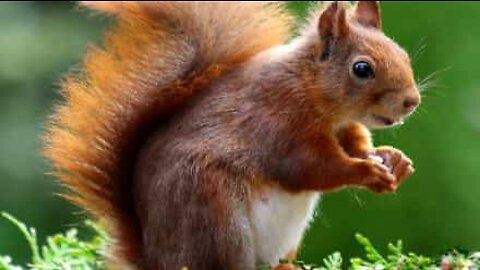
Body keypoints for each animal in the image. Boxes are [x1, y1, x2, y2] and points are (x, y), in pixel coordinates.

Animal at [44, 1, 420, 268]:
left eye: (402, 53)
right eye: (362, 68)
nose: (411, 101)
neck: (311, 91)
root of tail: (154, 258)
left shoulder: (344, 128)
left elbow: (356, 144)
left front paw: (393, 161)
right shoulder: (278, 124)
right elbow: (311, 168)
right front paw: (366, 171)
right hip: (217, 219)